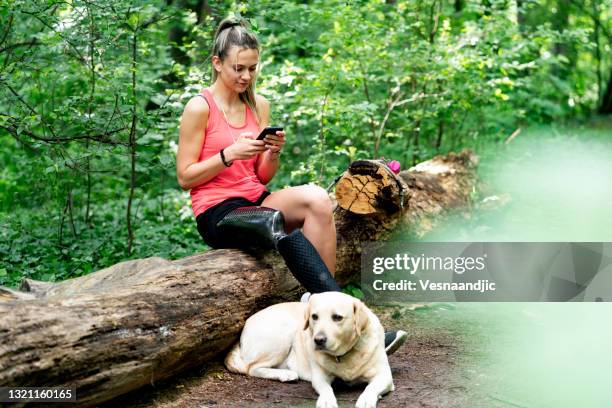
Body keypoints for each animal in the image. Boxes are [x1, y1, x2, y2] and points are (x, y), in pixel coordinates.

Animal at [227, 292, 394, 406]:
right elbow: (326, 388)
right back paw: (285, 374)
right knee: (252, 368)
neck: (342, 355)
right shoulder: (319, 377)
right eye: (314, 316)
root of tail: (246, 323)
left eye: (337, 317)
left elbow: (371, 387)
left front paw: (366, 399)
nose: (318, 340)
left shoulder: (385, 376)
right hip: (284, 331)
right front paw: (326, 400)